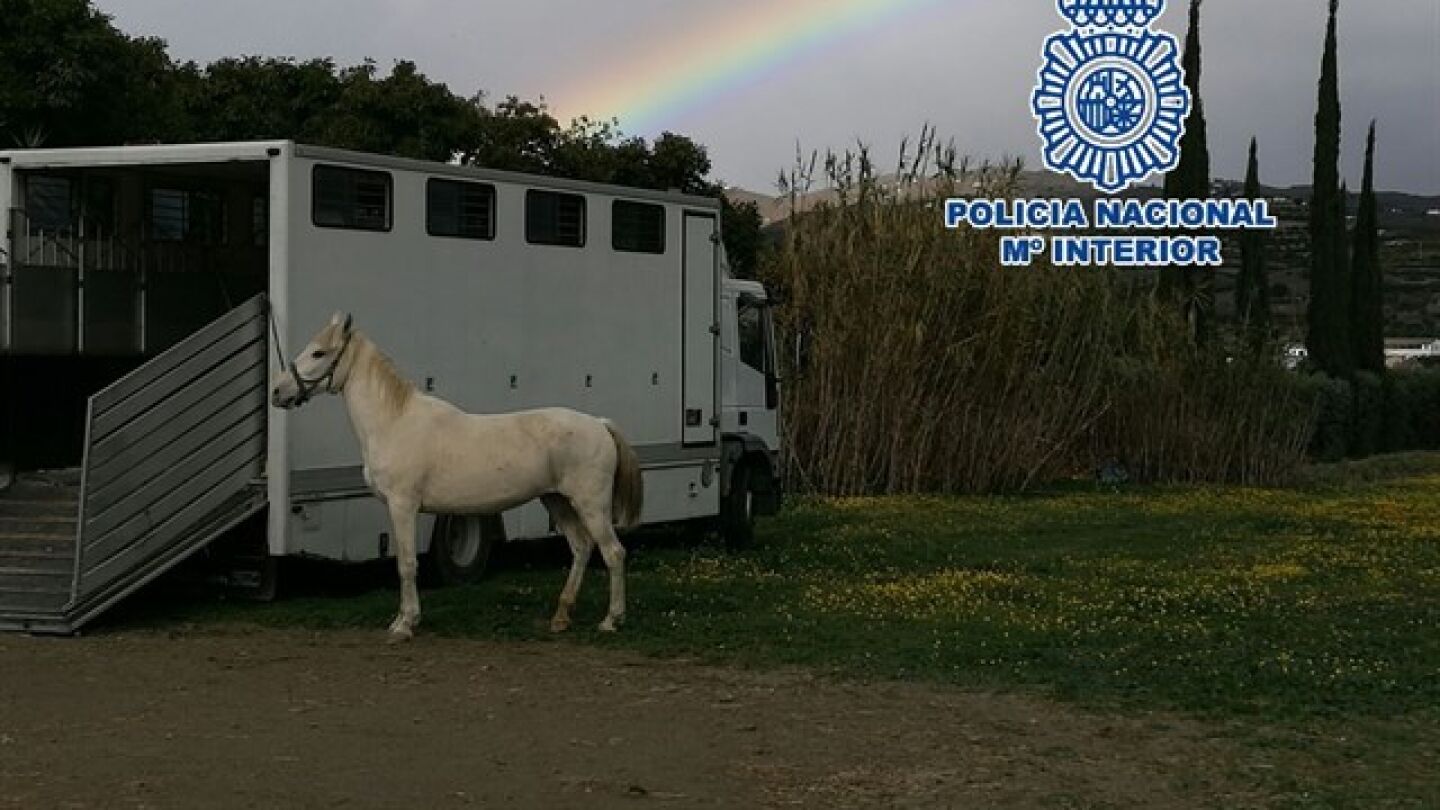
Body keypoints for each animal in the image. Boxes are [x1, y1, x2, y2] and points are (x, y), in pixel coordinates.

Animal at [270, 313, 644, 641]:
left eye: (319, 353)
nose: (277, 391)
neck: (394, 422)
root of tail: (599, 424)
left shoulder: (403, 506)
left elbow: (406, 564)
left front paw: (405, 625)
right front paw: (401, 619)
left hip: (590, 505)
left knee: (613, 553)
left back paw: (611, 621)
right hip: (557, 501)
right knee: (581, 547)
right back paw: (561, 617)